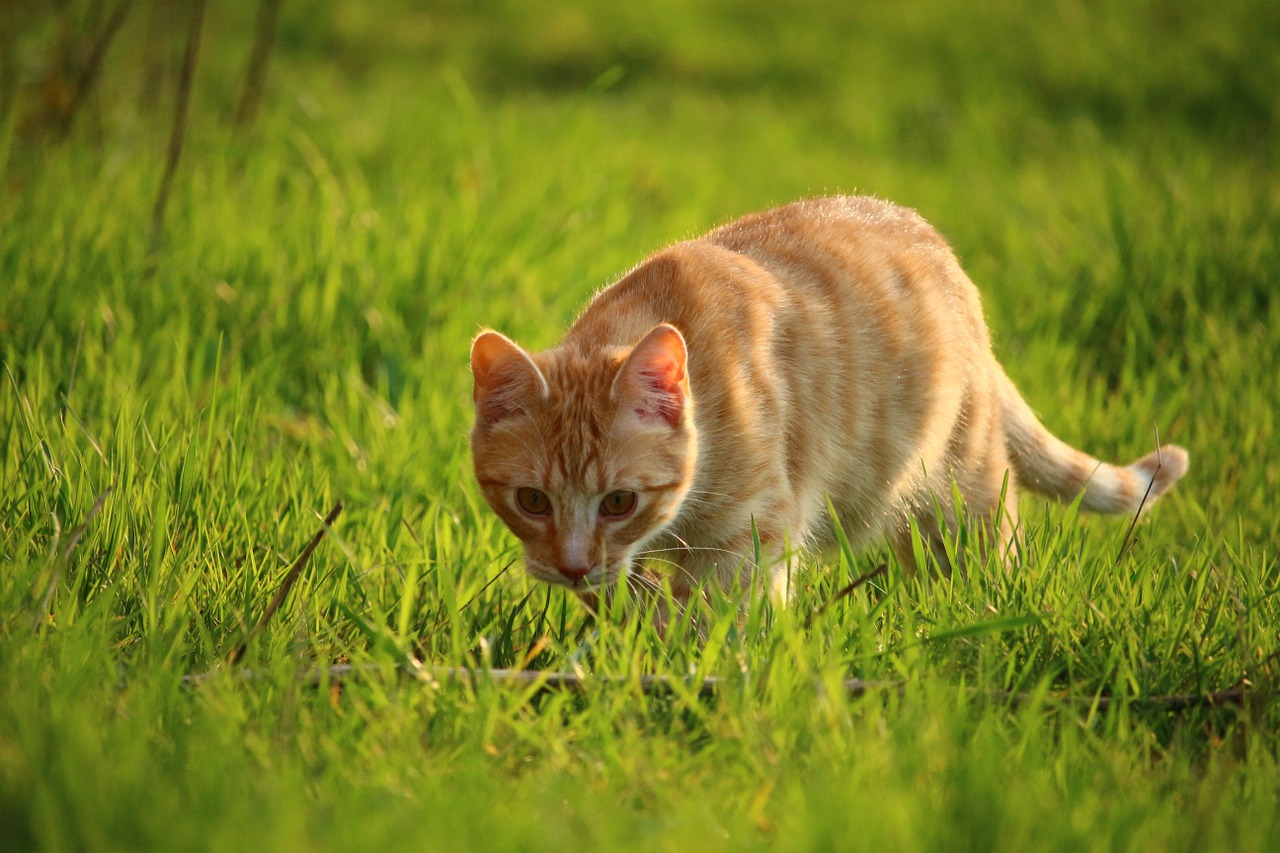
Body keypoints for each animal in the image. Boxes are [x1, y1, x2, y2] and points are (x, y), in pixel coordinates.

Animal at [471, 194, 1187, 601]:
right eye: (532, 501)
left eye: (619, 502)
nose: (571, 568)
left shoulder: (747, 537)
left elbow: (717, 620)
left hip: (962, 492)